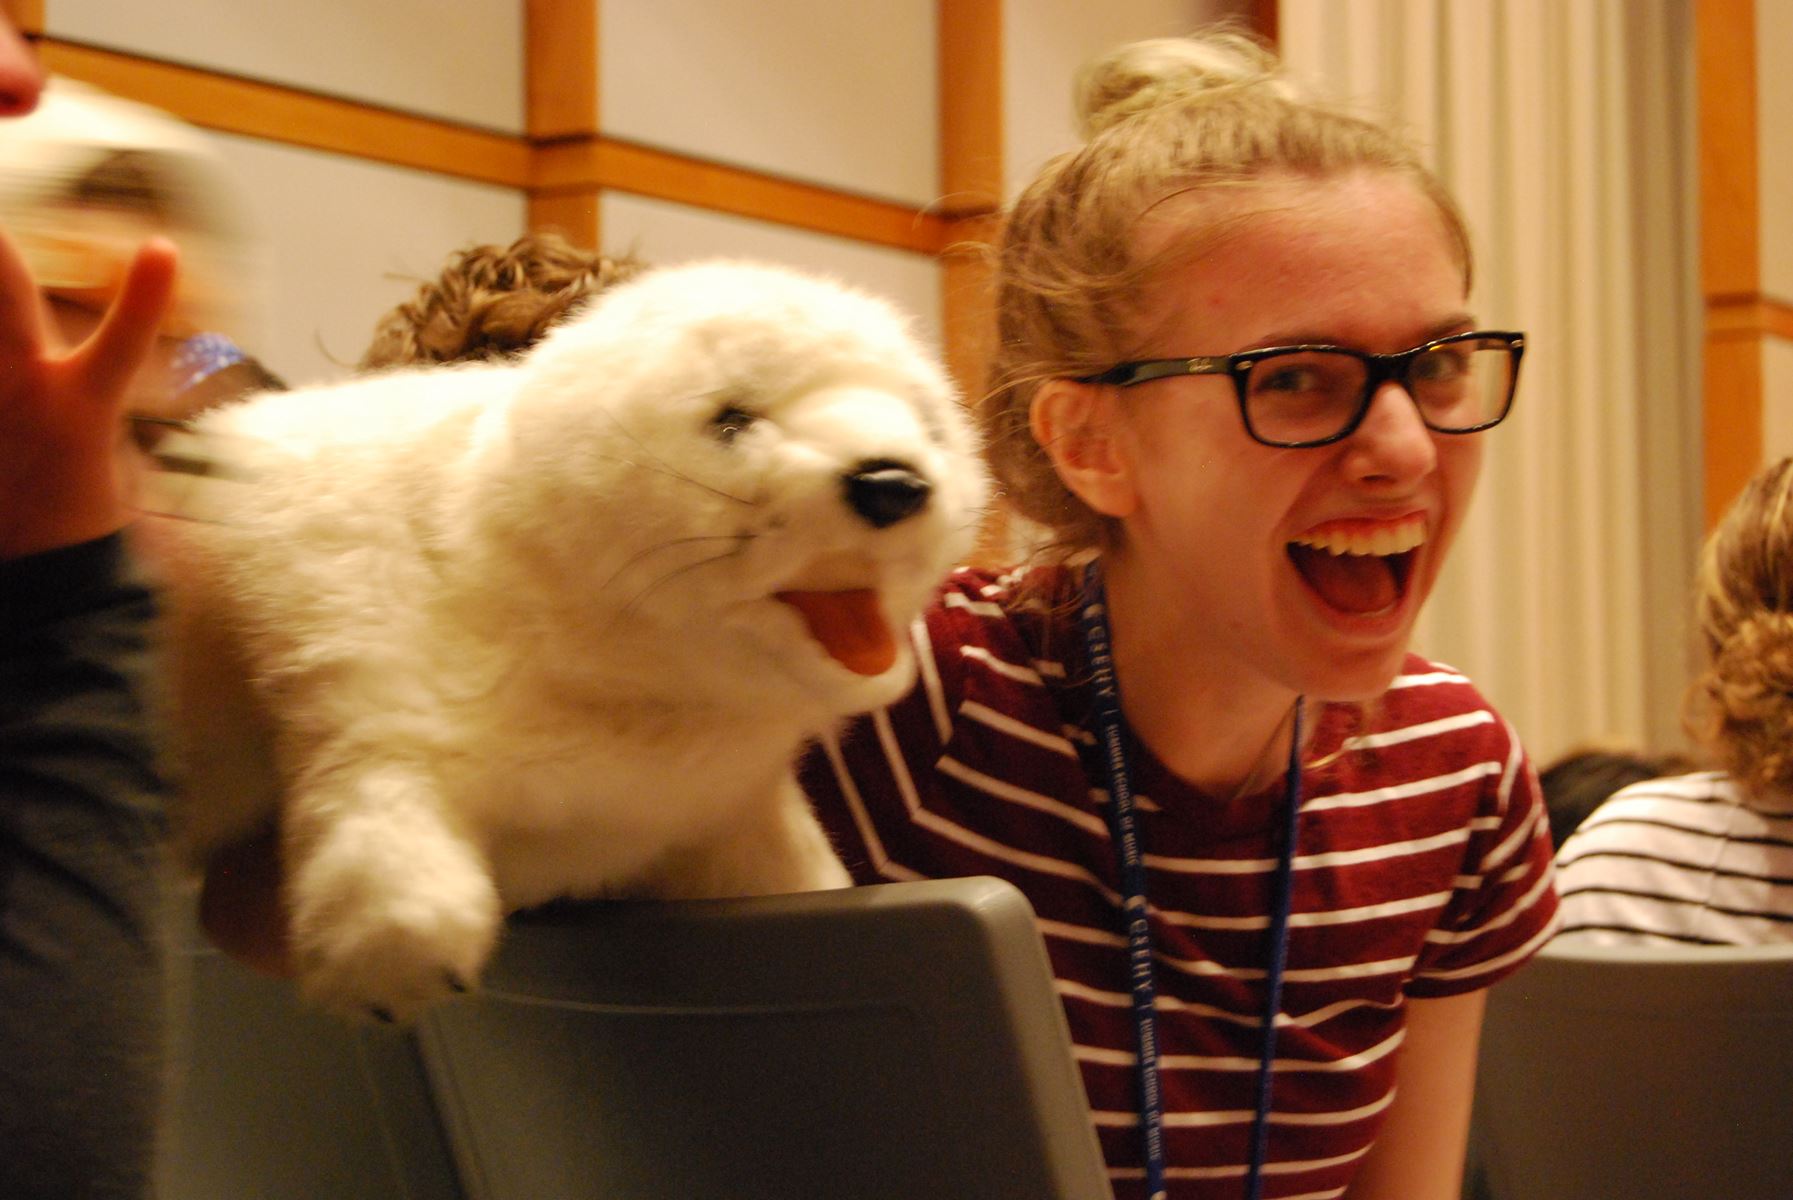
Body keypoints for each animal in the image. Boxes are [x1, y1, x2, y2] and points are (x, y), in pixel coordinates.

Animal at [157, 260, 988, 1022]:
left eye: (928, 424)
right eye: (731, 420)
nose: (892, 482)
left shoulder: (723, 807)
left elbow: (786, 869)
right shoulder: (361, 665)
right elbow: (373, 797)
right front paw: (398, 950)